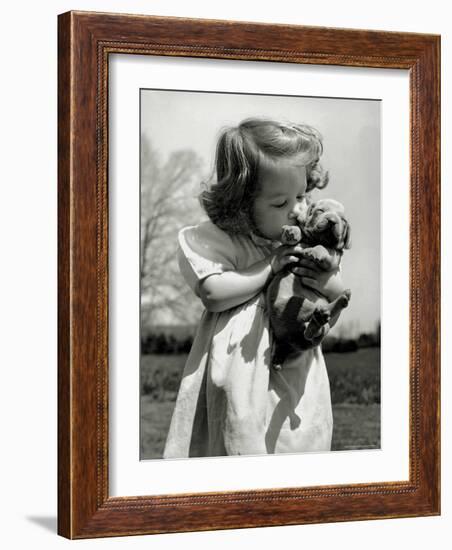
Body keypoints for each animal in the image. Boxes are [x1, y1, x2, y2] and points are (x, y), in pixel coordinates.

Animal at [266, 199, 352, 370]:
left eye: (342, 220)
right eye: (320, 211)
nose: (332, 221)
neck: (316, 240)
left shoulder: (334, 257)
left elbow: (325, 249)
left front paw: (315, 252)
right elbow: (298, 231)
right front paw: (291, 231)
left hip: (302, 307)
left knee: (315, 327)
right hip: (289, 309)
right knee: (310, 330)